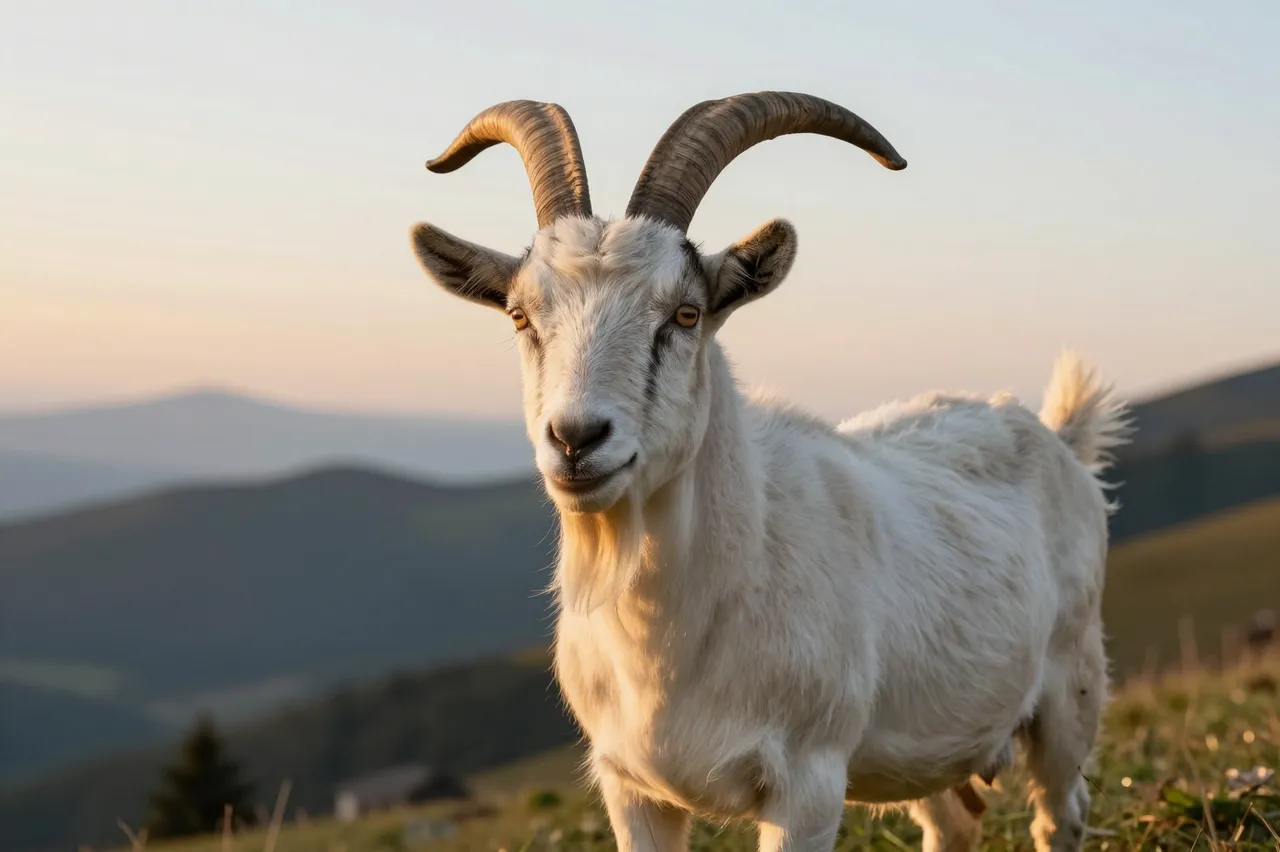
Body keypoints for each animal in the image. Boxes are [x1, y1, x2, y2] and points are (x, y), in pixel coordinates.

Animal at [409, 92, 1133, 852]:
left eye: (686, 313)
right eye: (521, 316)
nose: (577, 439)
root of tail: (1057, 433)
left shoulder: (808, 784)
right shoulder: (630, 789)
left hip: (1071, 685)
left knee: (1062, 809)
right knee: (954, 821)